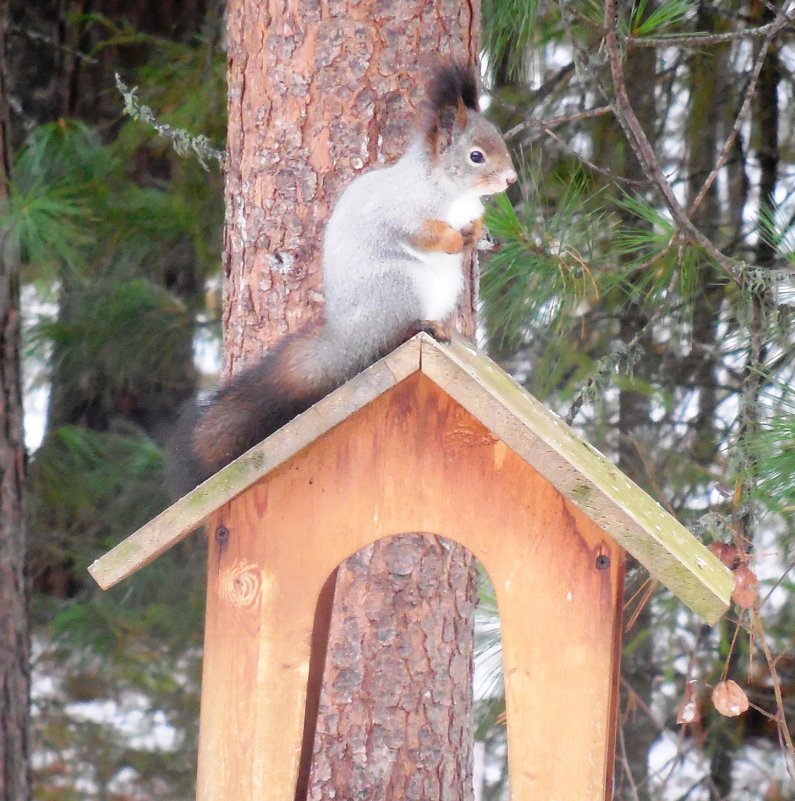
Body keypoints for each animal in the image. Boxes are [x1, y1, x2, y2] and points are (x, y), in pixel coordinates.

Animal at [166, 64, 516, 500]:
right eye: (475, 156)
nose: (511, 179)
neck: (446, 189)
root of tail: (348, 338)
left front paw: (477, 234)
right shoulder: (401, 213)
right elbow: (423, 234)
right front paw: (453, 240)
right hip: (399, 289)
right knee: (389, 338)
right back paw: (421, 327)